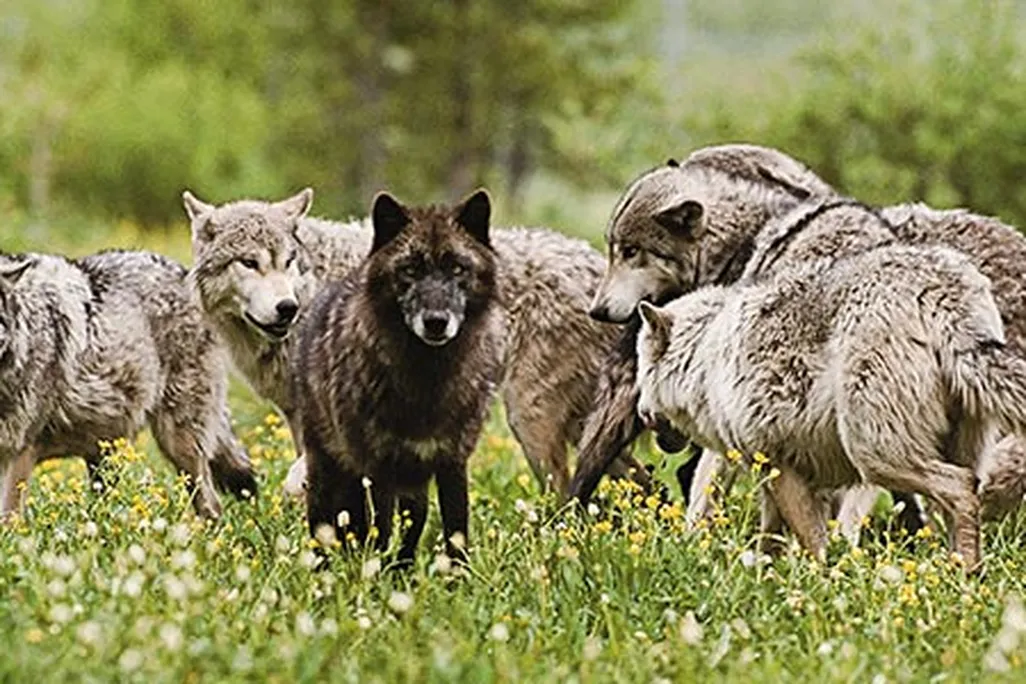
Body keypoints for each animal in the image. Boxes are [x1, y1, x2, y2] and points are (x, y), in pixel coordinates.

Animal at [184, 189, 647, 499]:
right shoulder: (304, 416)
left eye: (288, 261)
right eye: (249, 262)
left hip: (531, 421)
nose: (286, 308)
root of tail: (601, 276)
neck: (314, 288)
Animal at [294, 190, 504, 563]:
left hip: (412, 485)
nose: (435, 322)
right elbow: (380, 530)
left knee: (412, 524)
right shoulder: (379, 469)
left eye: (457, 268)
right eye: (410, 270)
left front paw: (459, 576)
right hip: (332, 468)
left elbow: (456, 529)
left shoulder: (452, 462)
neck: (428, 380)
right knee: (328, 523)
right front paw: (372, 569)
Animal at [635, 242, 1026, 569]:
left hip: (875, 457)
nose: (640, 411)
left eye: (641, 369)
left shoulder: (783, 471)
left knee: (960, 487)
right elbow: (771, 542)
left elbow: (813, 544)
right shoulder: (784, 480)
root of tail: (939, 291)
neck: (706, 354)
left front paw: (822, 584)